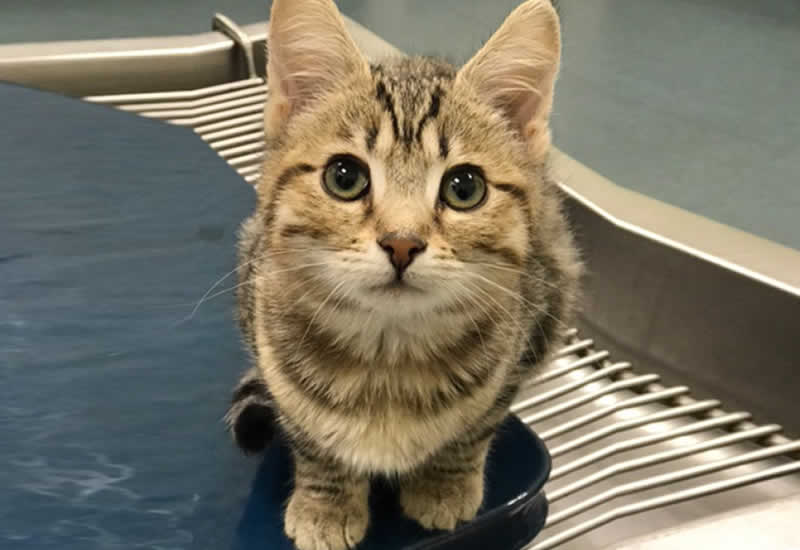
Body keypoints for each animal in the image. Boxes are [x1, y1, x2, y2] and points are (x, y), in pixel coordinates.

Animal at [225, 0, 580, 548]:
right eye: (344, 177)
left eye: (464, 187)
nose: (402, 242)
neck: (387, 358)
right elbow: (312, 438)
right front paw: (325, 503)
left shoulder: (522, 344)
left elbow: (474, 428)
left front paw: (444, 486)